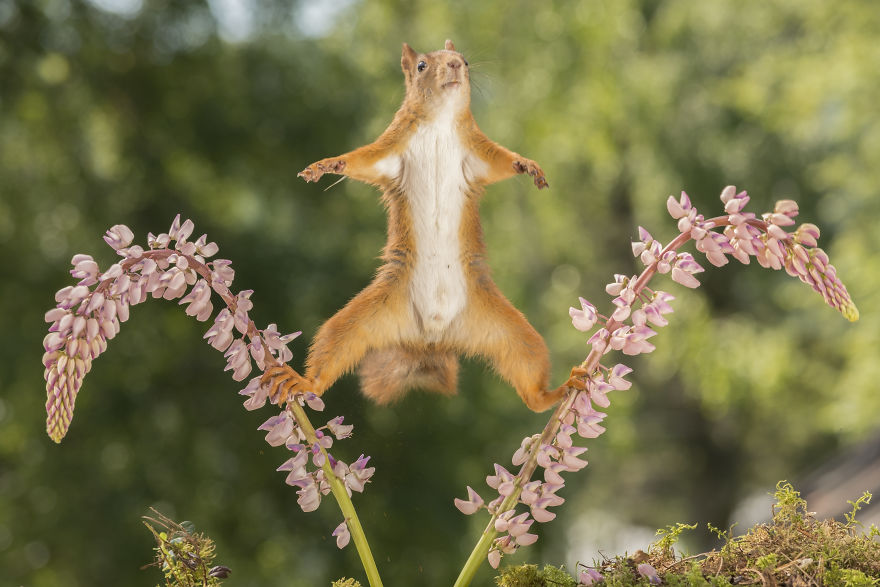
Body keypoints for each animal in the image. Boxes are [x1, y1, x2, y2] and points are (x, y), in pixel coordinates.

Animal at [264, 40, 582, 412]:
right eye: (421, 66)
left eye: (467, 61)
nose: (456, 64)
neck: (439, 123)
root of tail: (432, 339)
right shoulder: (390, 149)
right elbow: (361, 160)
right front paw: (327, 165)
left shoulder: (477, 151)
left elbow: (502, 160)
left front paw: (527, 165)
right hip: (363, 320)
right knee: (333, 346)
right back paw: (304, 381)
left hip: (511, 333)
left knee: (531, 383)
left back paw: (558, 391)